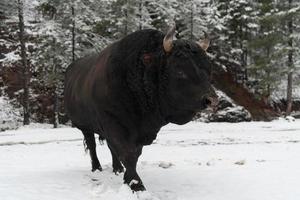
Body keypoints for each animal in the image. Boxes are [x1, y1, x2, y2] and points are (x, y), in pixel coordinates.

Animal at [63, 27, 218, 191]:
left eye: (208, 69)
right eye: (180, 71)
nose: (212, 100)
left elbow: (133, 154)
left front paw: (127, 177)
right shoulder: (114, 124)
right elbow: (128, 153)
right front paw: (136, 184)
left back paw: (117, 169)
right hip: (85, 126)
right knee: (92, 145)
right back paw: (96, 167)